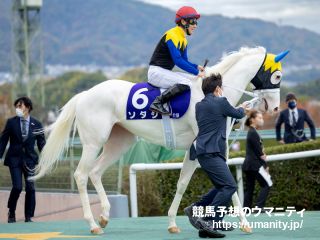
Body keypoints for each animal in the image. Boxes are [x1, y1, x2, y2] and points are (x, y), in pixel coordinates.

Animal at [31, 47, 288, 234]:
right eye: (277, 75)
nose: (275, 108)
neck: (209, 95)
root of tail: (84, 95)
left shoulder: (200, 149)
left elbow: (184, 183)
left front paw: (176, 222)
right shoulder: (211, 147)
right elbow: (226, 185)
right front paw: (244, 223)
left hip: (120, 142)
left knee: (95, 172)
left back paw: (104, 216)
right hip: (94, 142)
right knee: (81, 175)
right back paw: (93, 224)